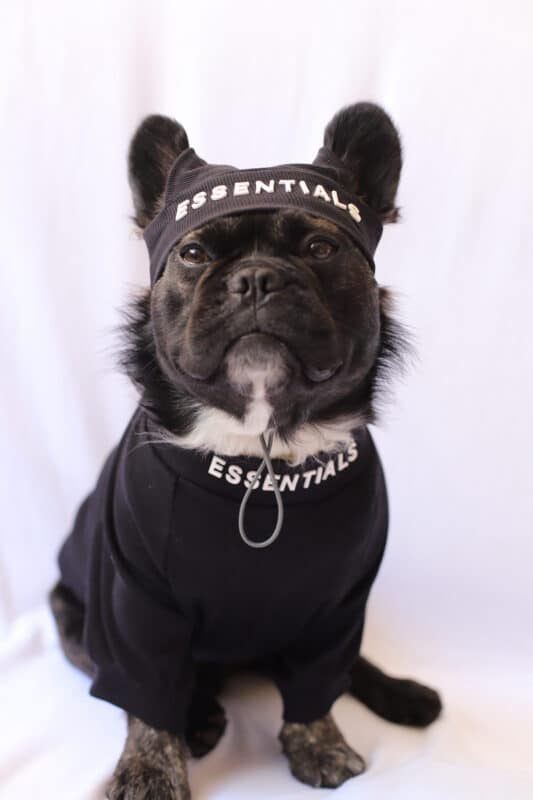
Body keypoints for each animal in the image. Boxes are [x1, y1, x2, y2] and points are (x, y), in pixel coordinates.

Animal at [50, 103, 440, 796]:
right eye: (194, 253)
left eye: (320, 248)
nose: (257, 278)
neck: (261, 455)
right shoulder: (134, 606)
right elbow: (145, 697)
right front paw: (150, 769)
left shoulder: (340, 606)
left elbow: (321, 679)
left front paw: (320, 742)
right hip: (73, 614)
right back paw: (200, 716)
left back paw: (402, 693)